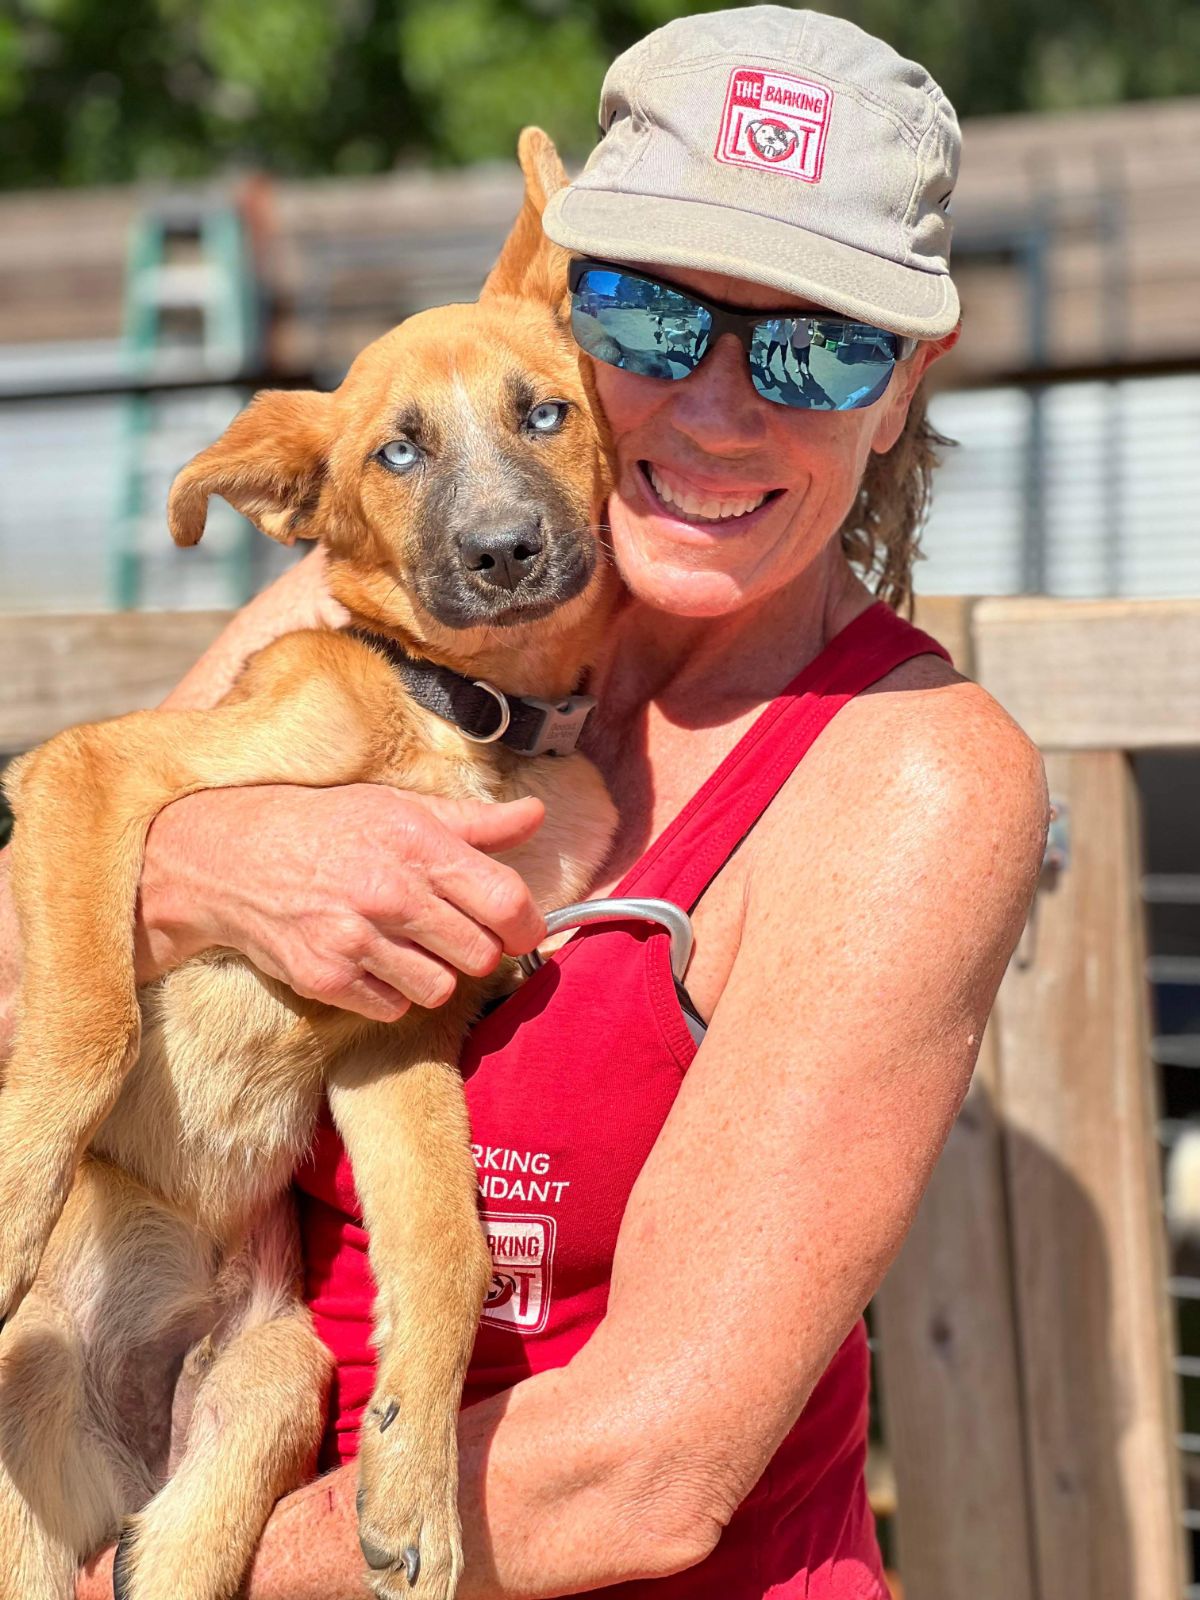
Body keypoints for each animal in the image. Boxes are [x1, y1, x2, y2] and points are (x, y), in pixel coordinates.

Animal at [0, 131, 620, 1600]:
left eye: (546, 416)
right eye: (396, 450)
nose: (504, 554)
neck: (463, 723)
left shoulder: (401, 1028)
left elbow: (447, 1240)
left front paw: (414, 1482)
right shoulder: (86, 773)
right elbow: (87, 1034)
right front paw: (1, 1214)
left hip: (258, 1396)